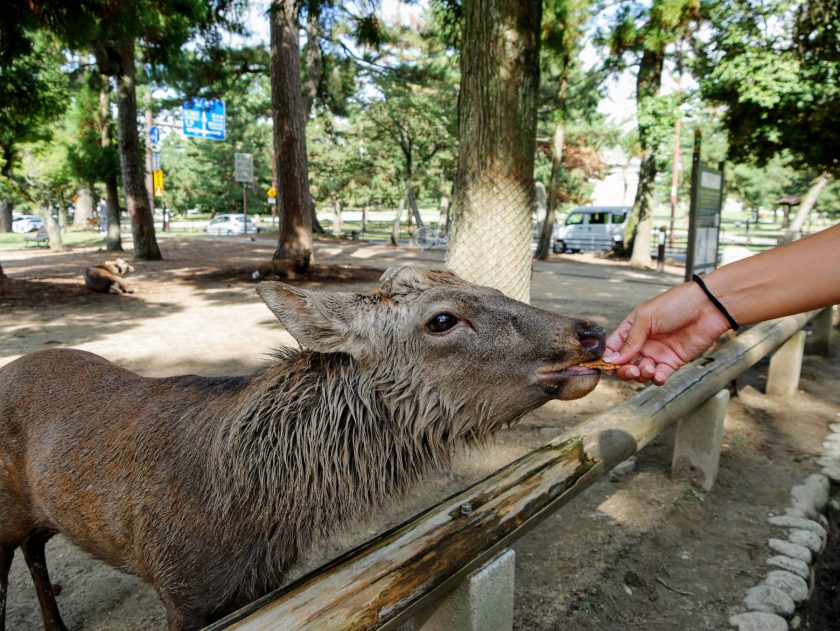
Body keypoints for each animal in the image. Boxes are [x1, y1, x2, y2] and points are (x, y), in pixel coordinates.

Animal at [0, 268, 608, 631]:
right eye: (441, 319)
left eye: (493, 289)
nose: (590, 332)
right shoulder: (179, 590)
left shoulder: (258, 586)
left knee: (37, 545)